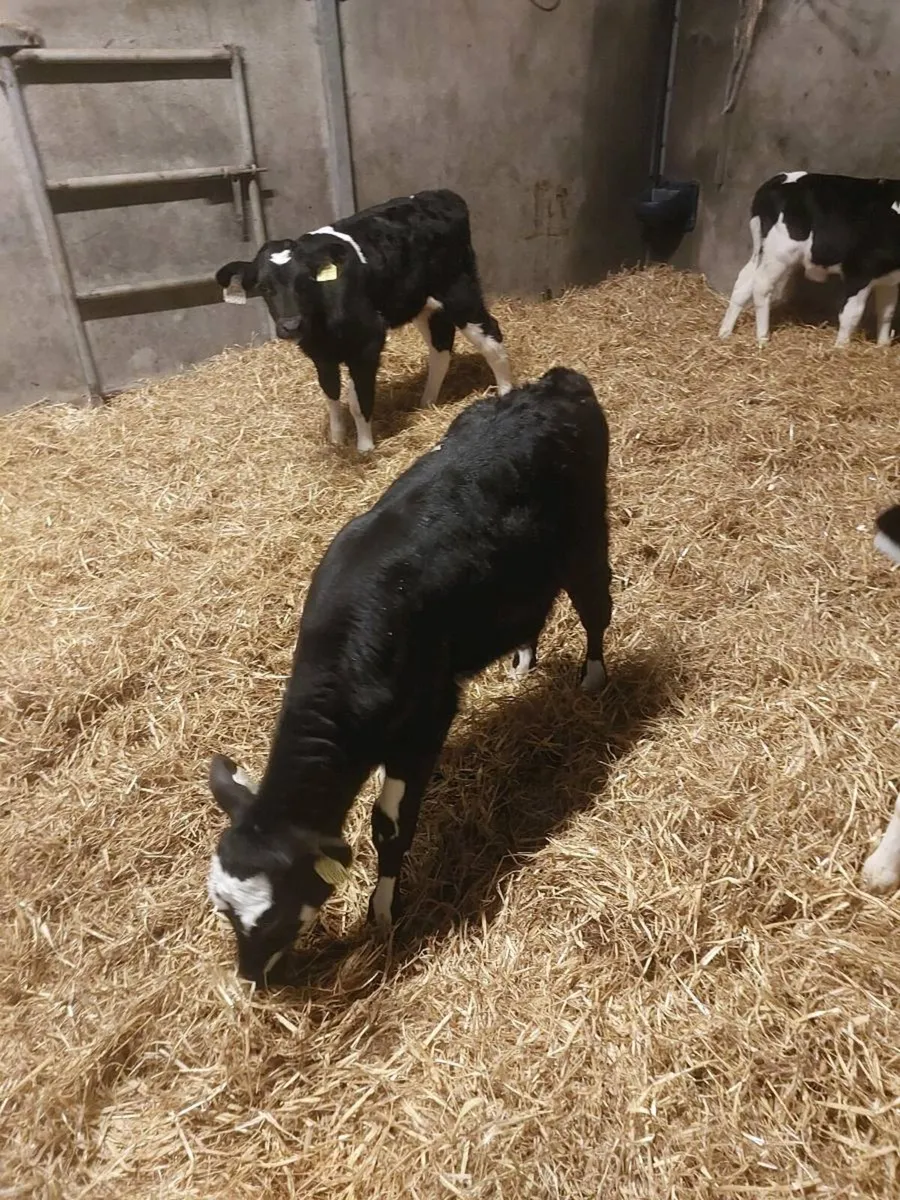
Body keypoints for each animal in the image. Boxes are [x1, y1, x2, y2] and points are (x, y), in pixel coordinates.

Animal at [205, 366, 613, 982]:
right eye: (224, 909)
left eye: (272, 916)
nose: (253, 978)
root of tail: (554, 383)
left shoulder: (425, 721)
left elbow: (389, 825)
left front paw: (384, 912)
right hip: (520, 578)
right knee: (532, 615)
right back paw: (522, 663)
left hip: (587, 542)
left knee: (596, 607)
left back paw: (593, 679)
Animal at [216, 189, 513, 453]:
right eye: (264, 287)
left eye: (306, 280)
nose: (291, 326)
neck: (322, 326)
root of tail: (442, 195)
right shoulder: (319, 354)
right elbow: (331, 393)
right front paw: (336, 440)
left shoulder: (368, 342)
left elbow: (358, 399)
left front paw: (364, 447)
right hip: (423, 305)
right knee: (440, 347)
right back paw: (427, 402)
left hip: (458, 289)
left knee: (491, 336)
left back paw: (506, 392)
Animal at [718, 171, 900, 347]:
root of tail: (779, 179)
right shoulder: (858, 272)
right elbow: (852, 314)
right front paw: (841, 348)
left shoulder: (890, 279)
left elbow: (887, 312)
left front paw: (883, 345)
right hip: (780, 253)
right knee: (761, 286)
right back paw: (762, 338)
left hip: (761, 249)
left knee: (744, 281)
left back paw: (725, 332)